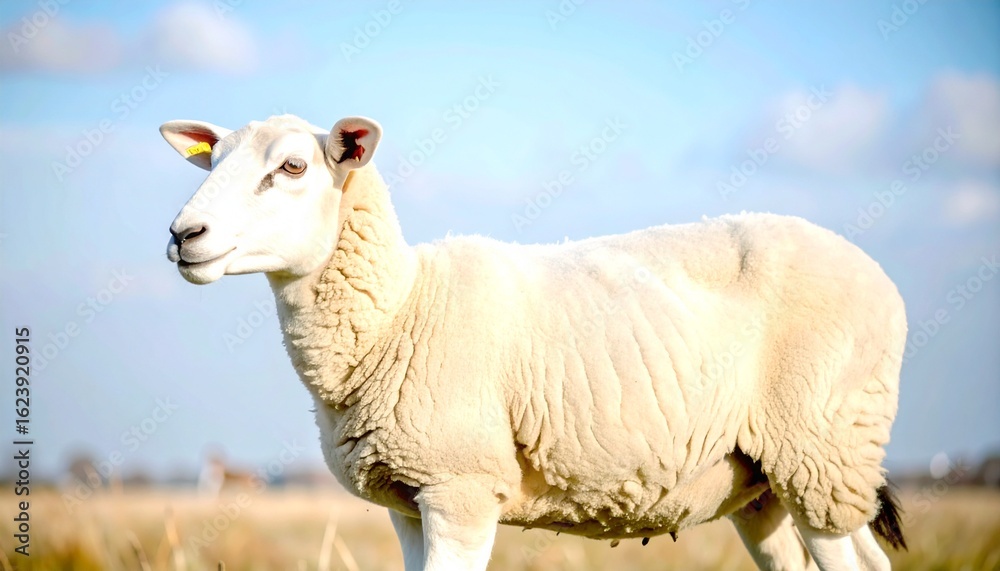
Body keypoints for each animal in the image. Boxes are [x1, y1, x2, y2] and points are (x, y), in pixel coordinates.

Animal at [160, 114, 908, 571]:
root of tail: (881, 278)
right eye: (211, 161)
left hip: (826, 448)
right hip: (766, 484)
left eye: (292, 167)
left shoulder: (458, 487)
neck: (400, 311)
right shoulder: (406, 500)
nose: (183, 235)